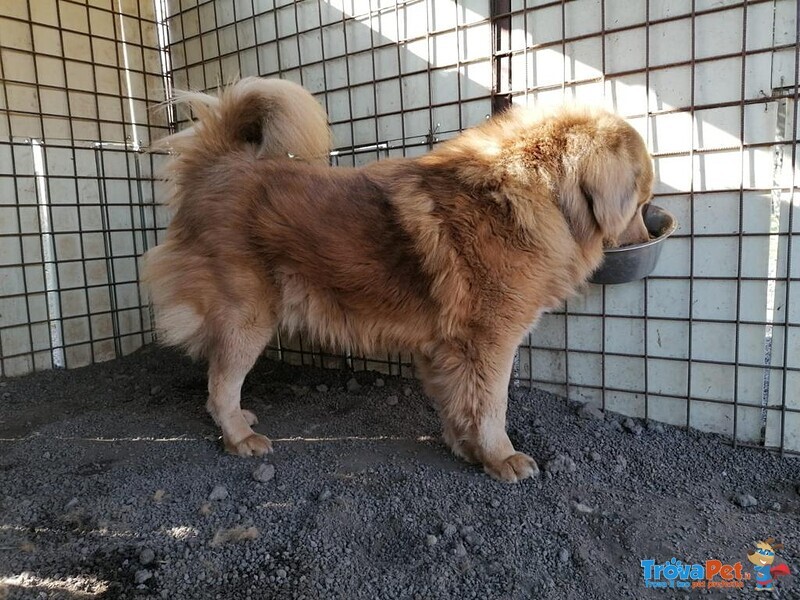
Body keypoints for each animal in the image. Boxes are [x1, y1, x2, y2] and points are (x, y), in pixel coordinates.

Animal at [142, 78, 648, 482]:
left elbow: (457, 405)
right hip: (247, 318)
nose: (649, 234)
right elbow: (491, 408)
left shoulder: (445, 348)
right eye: (641, 201)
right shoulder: (489, 343)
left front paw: (465, 449)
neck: (532, 193)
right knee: (220, 384)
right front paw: (500, 458)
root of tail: (218, 162)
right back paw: (239, 437)